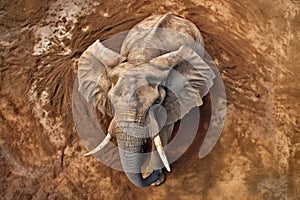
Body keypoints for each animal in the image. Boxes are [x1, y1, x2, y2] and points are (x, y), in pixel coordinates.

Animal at [77, 13, 217, 188]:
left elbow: (163, 131)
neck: (141, 57)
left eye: (156, 102)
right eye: (111, 100)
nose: (153, 175)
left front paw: (157, 179)